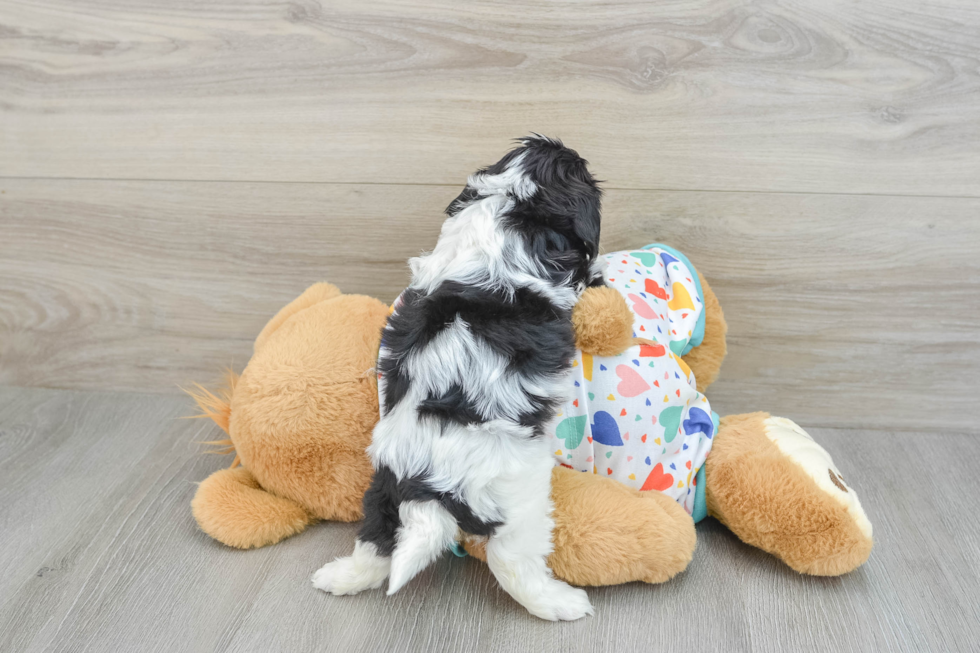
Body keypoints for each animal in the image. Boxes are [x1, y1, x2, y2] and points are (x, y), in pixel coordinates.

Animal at [314, 135, 604, 620]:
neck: (506, 202)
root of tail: (426, 487)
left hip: (382, 486)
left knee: (375, 539)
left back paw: (340, 577)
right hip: (516, 498)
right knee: (511, 561)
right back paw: (560, 603)